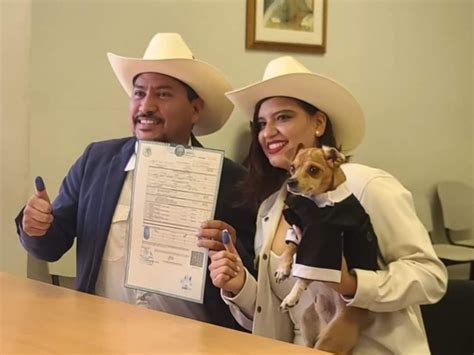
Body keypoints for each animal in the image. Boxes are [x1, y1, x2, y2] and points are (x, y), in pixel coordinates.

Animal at [274, 146, 378, 354]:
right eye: (292, 168)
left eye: (313, 170)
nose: (290, 181)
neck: (317, 204)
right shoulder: (298, 230)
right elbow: (289, 249)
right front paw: (283, 268)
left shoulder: (320, 247)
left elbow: (304, 276)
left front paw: (291, 297)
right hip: (307, 323)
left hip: (331, 340)